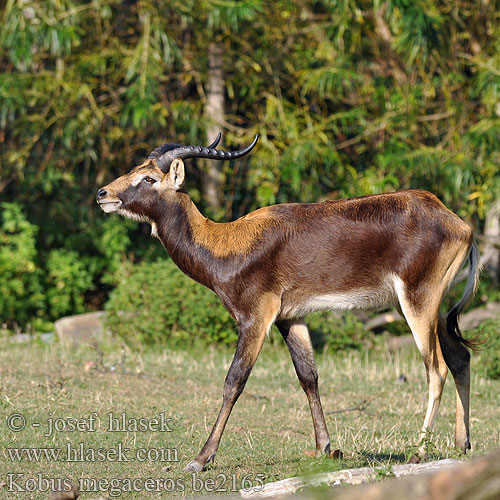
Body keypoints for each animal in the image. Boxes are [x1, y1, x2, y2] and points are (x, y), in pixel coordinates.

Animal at [96, 133, 480, 468]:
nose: (103, 193)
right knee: (460, 358)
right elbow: (308, 375)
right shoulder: (289, 318)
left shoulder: (255, 319)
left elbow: (234, 381)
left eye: (148, 178)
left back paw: (418, 453)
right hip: (430, 308)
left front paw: (201, 459)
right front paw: (325, 448)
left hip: (417, 303)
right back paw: (461, 445)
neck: (226, 243)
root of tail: (461, 225)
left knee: (436, 369)